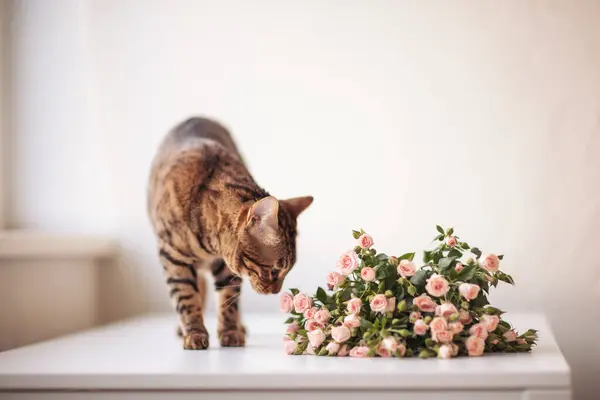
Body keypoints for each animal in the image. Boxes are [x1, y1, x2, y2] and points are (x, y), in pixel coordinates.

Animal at [148, 116, 314, 350]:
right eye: (274, 271)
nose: (275, 292)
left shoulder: (227, 267)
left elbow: (228, 300)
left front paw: (230, 332)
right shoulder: (172, 257)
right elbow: (186, 297)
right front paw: (194, 333)